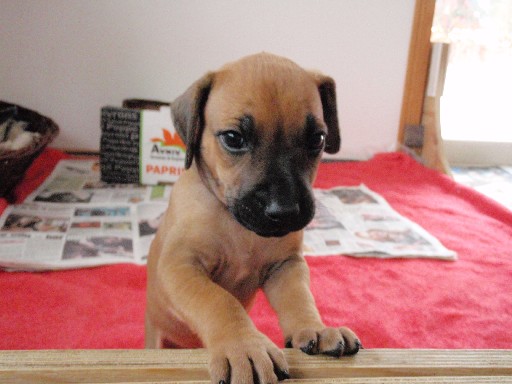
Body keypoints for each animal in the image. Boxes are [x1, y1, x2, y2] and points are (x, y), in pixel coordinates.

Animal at [144, 51, 360, 384]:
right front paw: (244, 346)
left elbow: (299, 297)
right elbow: (219, 300)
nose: (284, 211)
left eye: (318, 139)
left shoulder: (286, 266)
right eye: (234, 138)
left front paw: (315, 328)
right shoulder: (180, 266)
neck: (240, 228)